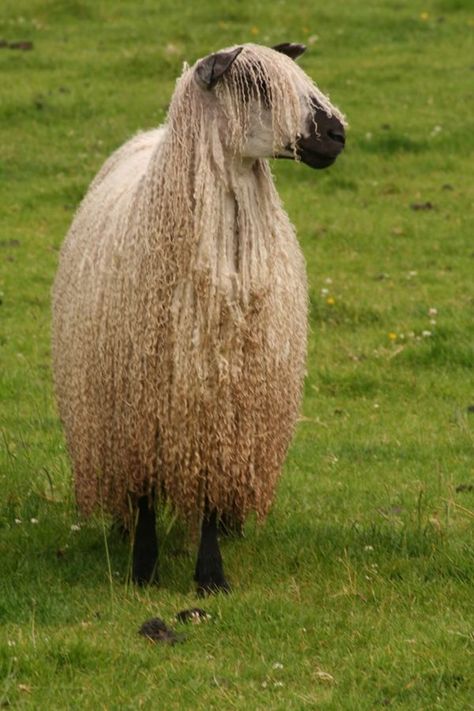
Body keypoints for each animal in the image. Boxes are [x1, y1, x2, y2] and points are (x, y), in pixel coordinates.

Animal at [51, 41, 344, 592]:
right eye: (257, 87)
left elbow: (209, 493)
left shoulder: (223, 407)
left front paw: (211, 575)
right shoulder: (138, 410)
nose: (339, 134)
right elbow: (145, 493)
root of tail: (149, 133)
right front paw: (143, 569)